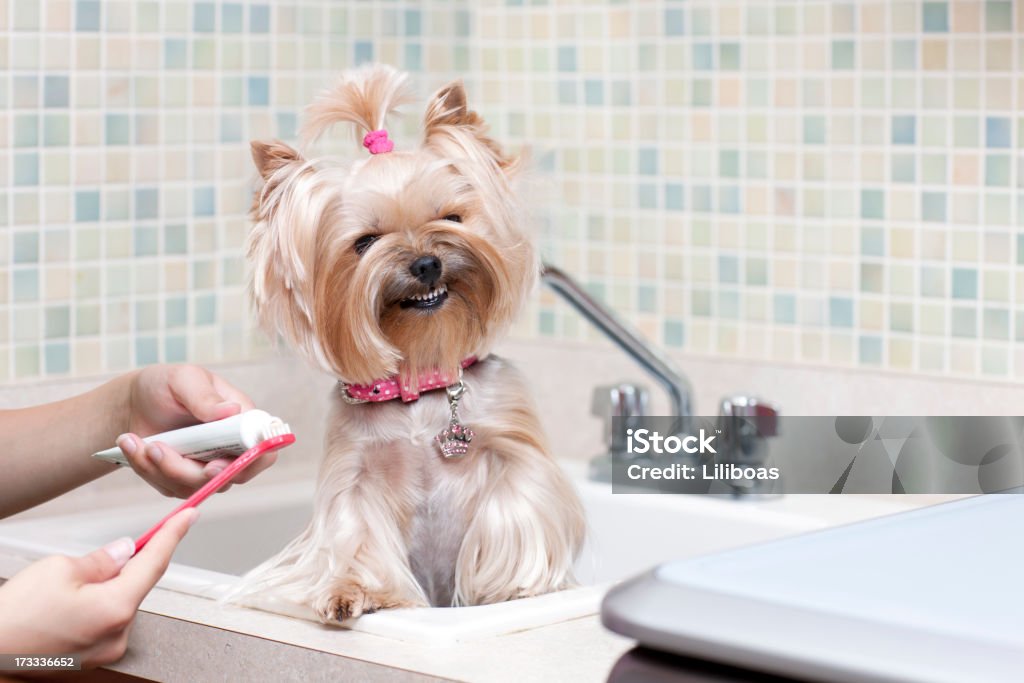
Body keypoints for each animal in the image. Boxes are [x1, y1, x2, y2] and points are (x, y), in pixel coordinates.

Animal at [233, 65, 585, 618]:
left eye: (452, 218)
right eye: (365, 242)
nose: (426, 263)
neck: (423, 374)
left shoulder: (513, 448)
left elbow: (515, 507)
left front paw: (510, 588)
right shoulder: (354, 471)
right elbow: (356, 534)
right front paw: (352, 592)